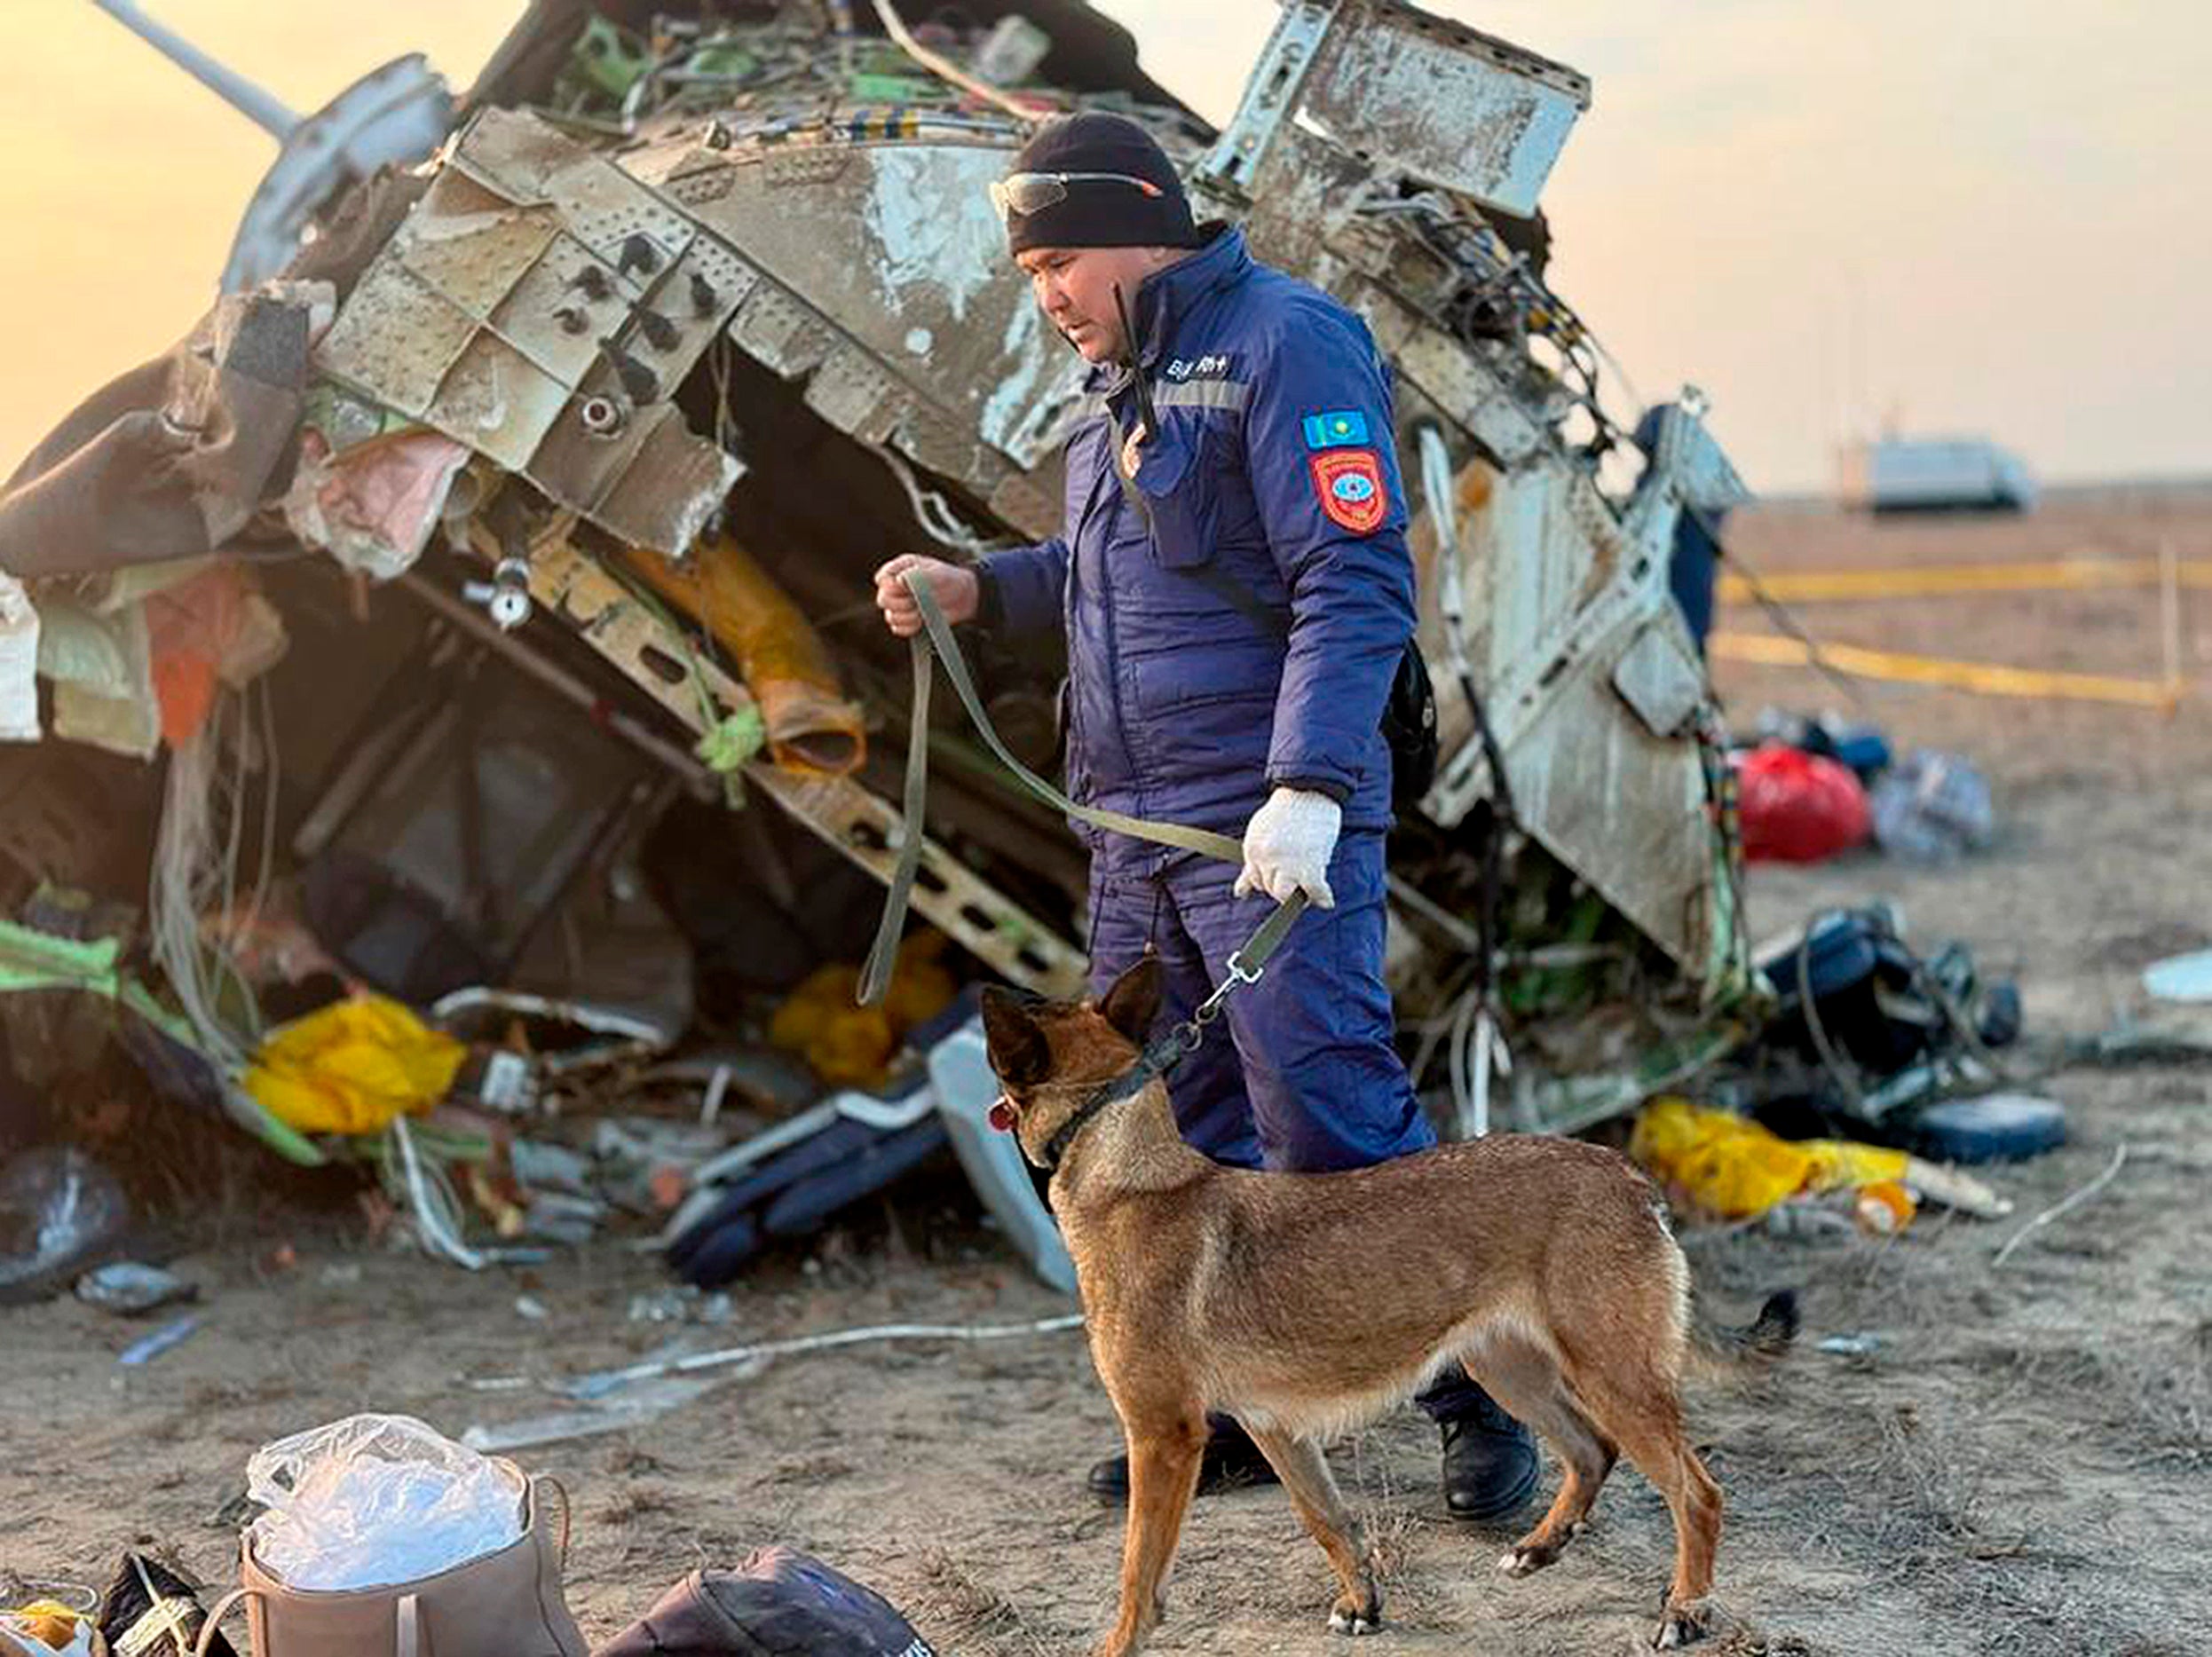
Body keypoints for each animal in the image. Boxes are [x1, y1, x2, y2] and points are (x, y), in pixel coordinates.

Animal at [986, 955, 1796, 1654]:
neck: (1128, 1170)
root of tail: (1627, 1176)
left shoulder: (1161, 1437)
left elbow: (1136, 1572)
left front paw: (1120, 1643)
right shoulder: (1274, 1427)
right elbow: (1327, 1519)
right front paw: (1362, 1602)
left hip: (1613, 1377)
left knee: (1697, 1493)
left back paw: (1685, 1610)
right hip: (1512, 1368)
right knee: (1593, 1449)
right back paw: (1541, 1546)